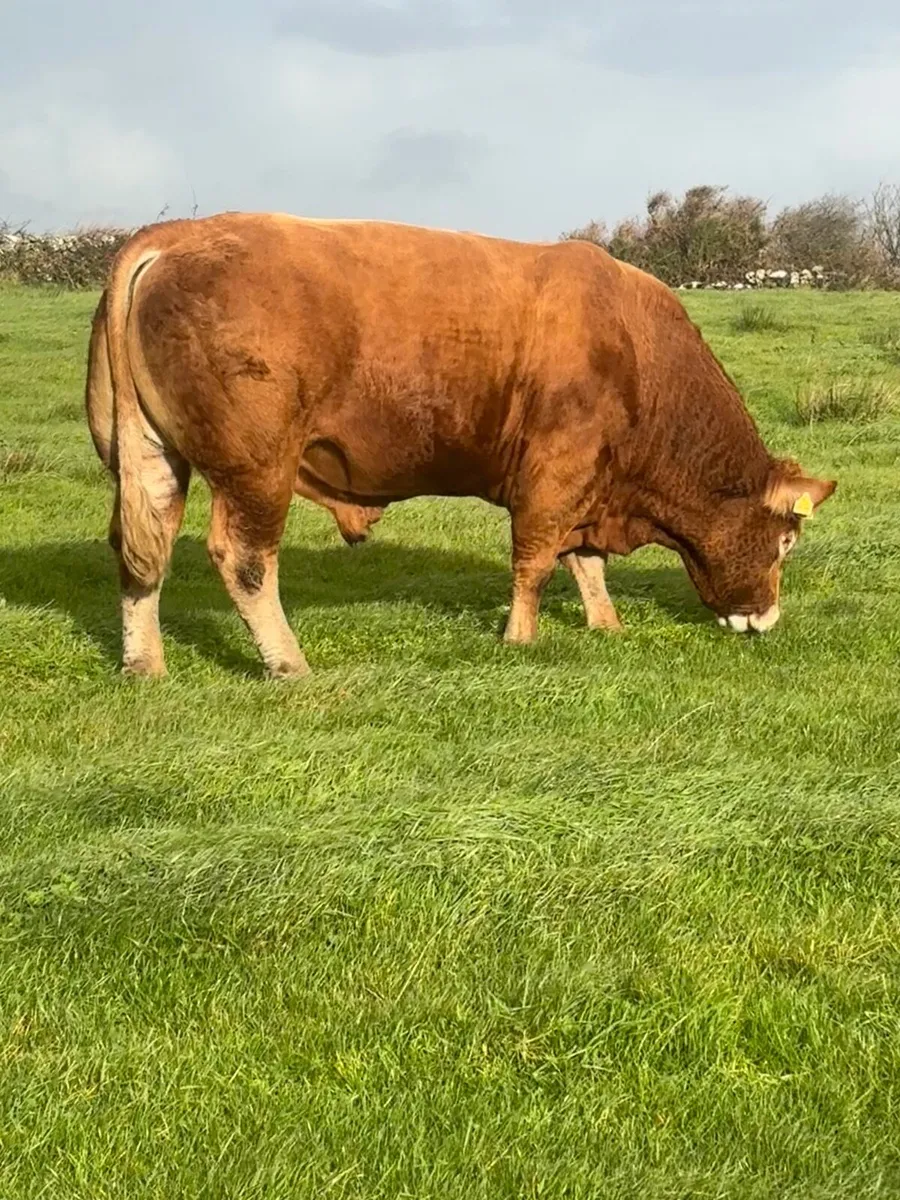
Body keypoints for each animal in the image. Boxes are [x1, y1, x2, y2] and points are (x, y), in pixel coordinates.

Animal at [84, 212, 835, 678]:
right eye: (786, 541)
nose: (768, 617)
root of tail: (176, 236)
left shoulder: (590, 483)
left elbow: (585, 561)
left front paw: (605, 624)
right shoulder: (555, 472)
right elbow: (537, 560)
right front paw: (521, 638)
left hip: (152, 455)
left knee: (141, 550)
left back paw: (144, 664)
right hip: (257, 470)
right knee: (243, 561)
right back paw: (290, 664)